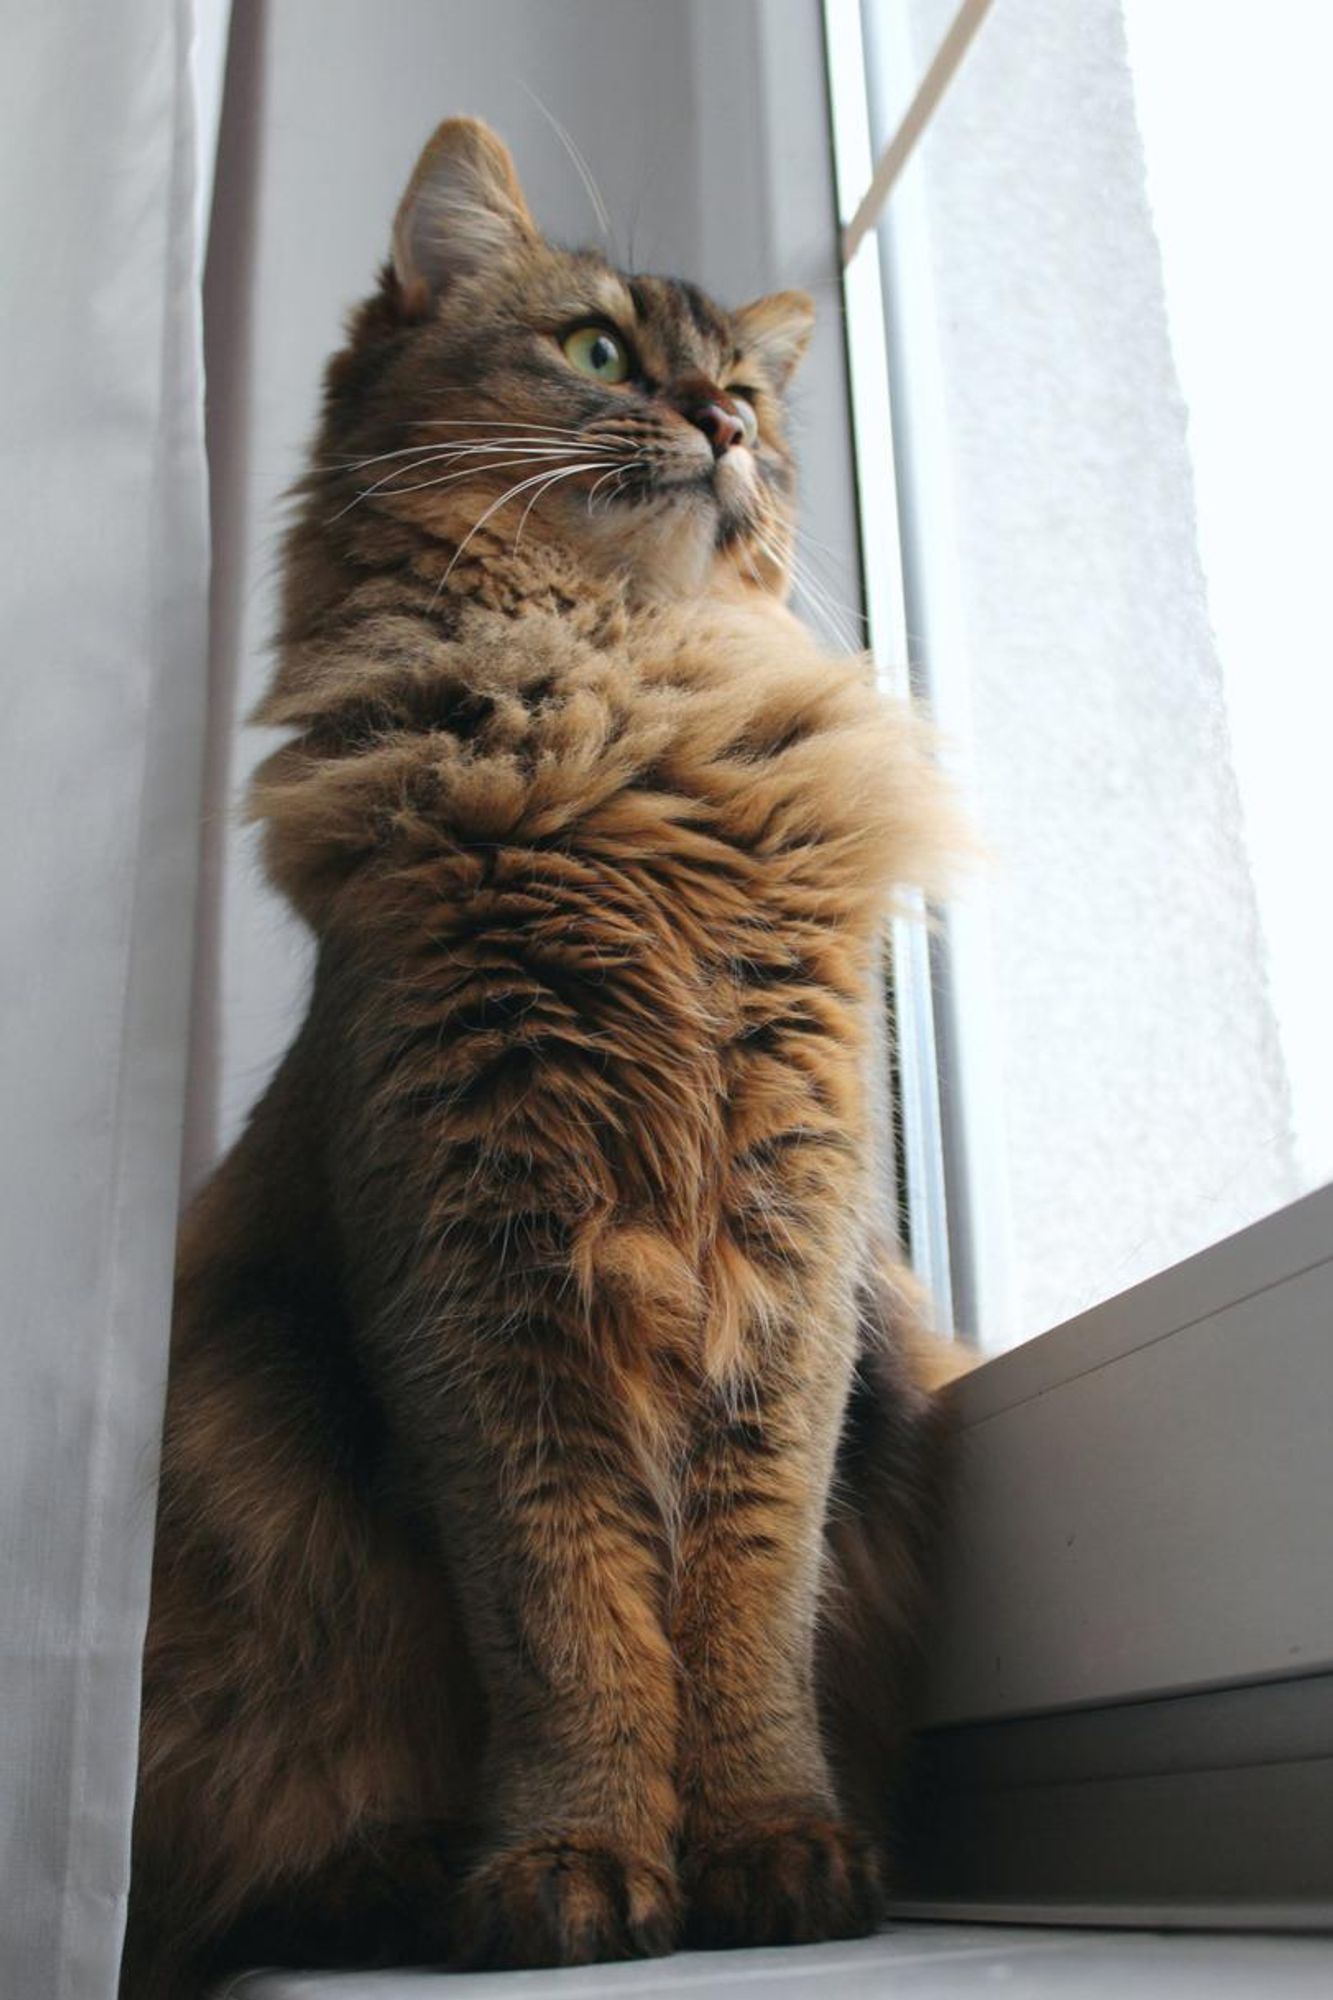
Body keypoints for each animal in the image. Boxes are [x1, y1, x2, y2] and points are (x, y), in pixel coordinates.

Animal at [119, 117, 960, 1992]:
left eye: (745, 389)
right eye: (593, 352)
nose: (721, 424)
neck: (621, 709)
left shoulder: (788, 1261)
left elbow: (745, 1604)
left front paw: (772, 1845)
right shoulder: (473, 1270)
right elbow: (566, 1608)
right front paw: (574, 1860)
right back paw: (381, 1882)